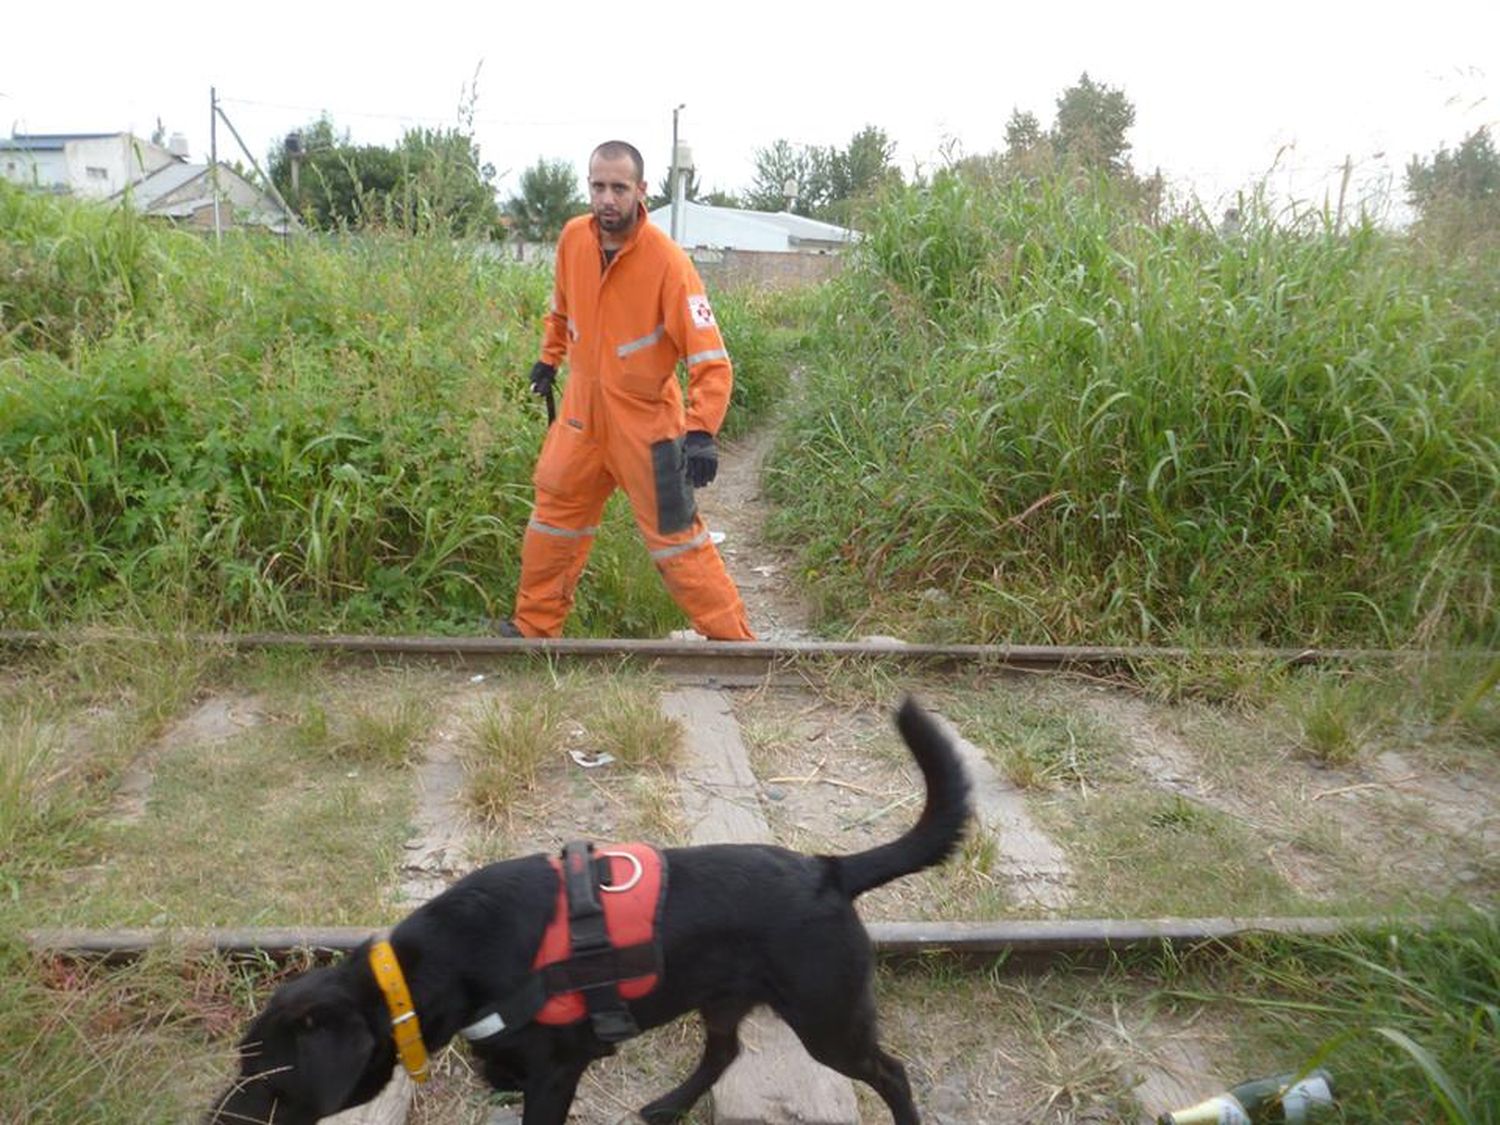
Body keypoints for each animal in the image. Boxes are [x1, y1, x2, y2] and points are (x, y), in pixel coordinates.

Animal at [205, 702, 966, 1122]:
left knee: (890, 1073)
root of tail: (829, 869)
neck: (430, 969)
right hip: (723, 996)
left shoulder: (556, 1071)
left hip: (828, 1019)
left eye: (268, 1080)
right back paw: (671, 1105)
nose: (214, 1118)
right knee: (724, 1050)